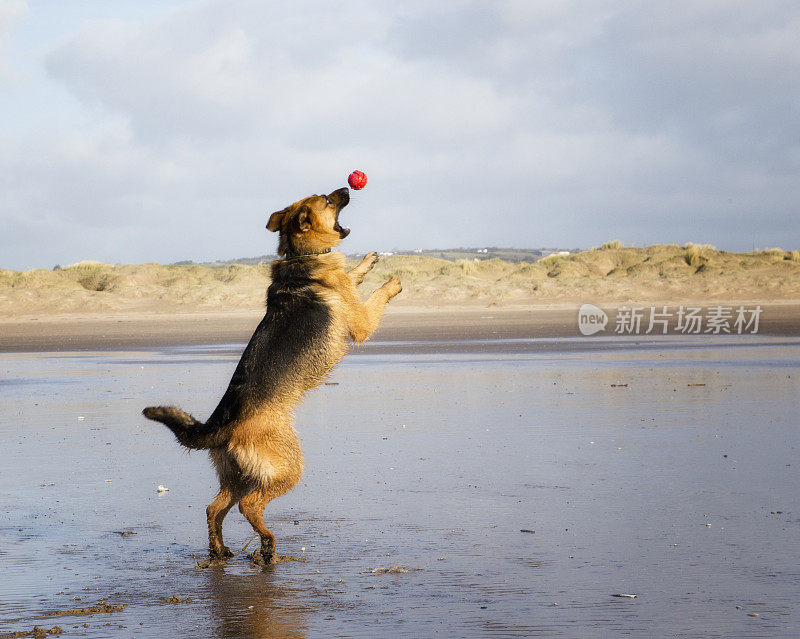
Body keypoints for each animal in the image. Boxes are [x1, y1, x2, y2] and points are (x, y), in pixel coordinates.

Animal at [142, 186, 400, 564]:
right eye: (327, 199)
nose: (347, 188)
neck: (300, 256)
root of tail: (221, 427)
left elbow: (354, 275)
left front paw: (367, 262)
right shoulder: (362, 323)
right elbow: (374, 297)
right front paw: (393, 283)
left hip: (239, 476)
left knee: (214, 508)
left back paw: (220, 550)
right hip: (286, 468)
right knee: (248, 506)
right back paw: (267, 545)